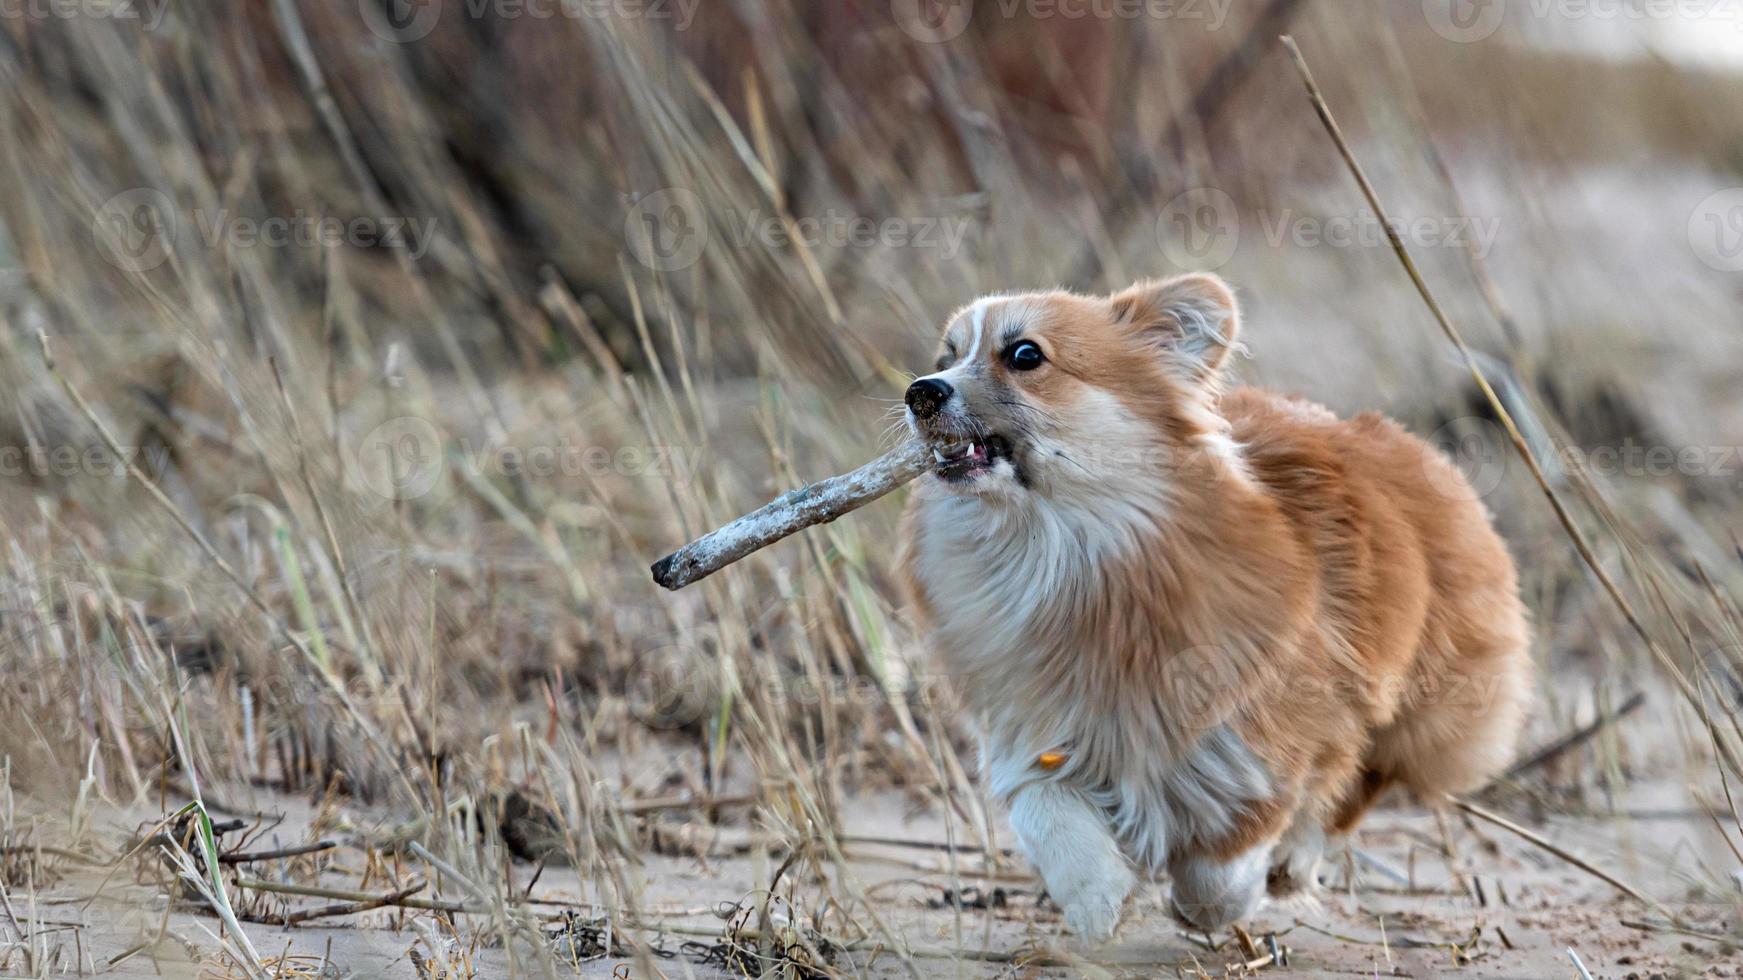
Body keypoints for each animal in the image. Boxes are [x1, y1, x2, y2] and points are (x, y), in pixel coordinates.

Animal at [906, 272, 1533, 941]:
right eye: (945, 356)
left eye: (1025, 355)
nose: (920, 392)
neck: (1060, 548)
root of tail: (1399, 438)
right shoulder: (1033, 730)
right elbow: (1051, 820)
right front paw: (1100, 900)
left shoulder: (1254, 738)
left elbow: (1226, 857)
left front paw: (1211, 904)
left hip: (1417, 696)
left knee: (1355, 781)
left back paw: (1291, 863)